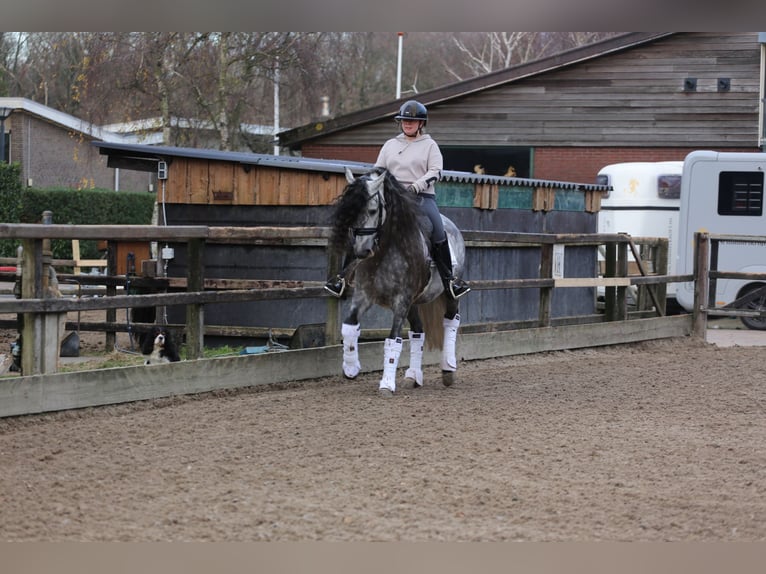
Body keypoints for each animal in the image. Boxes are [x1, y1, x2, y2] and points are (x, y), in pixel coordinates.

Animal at [330, 169, 468, 398]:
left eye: (373, 210)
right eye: (350, 213)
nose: (361, 251)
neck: (385, 251)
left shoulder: (401, 300)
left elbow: (392, 340)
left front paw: (386, 384)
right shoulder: (364, 295)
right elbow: (349, 327)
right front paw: (350, 368)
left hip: (447, 294)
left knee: (451, 321)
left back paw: (448, 369)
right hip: (413, 302)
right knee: (418, 332)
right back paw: (413, 376)